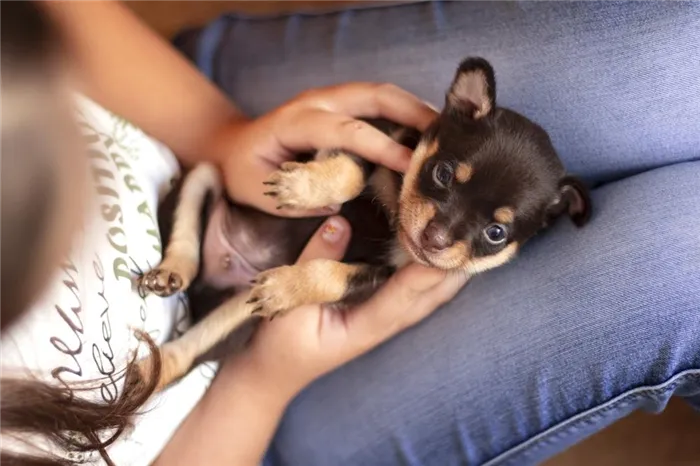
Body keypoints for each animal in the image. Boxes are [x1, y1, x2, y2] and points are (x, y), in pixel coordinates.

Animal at [137, 59, 592, 394]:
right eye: (442, 174)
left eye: (496, 234)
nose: (435, 239)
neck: (394, 219)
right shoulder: (366, 136)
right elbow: (352, 174)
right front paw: (302, 188)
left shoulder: (378, 277)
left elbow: (332, 276)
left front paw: (287, 287)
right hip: (205, 178)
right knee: (187, 240)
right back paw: (171, 272)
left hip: (241, 312)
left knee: (189, 349)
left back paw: (150, 371)